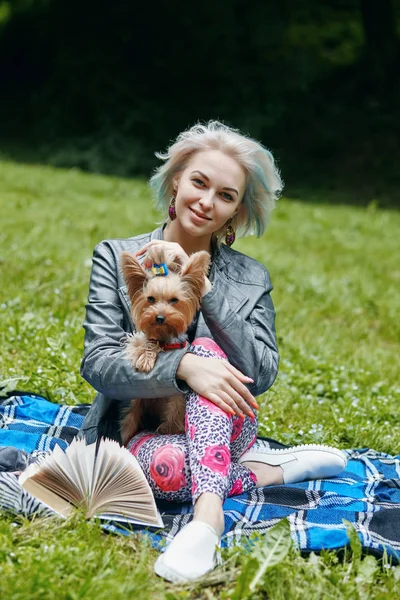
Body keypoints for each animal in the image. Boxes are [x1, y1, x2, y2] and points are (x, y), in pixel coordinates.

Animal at [119, 245, 211, 446]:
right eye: (150, 299)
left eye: (174, 300)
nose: (159, 317)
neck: (165, 339)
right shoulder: (136, 338)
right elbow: (143, 341)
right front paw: (145, 358)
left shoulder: (178, 395)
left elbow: (176, 407)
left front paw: (169, 429)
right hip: (135, 404)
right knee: (130, 420)